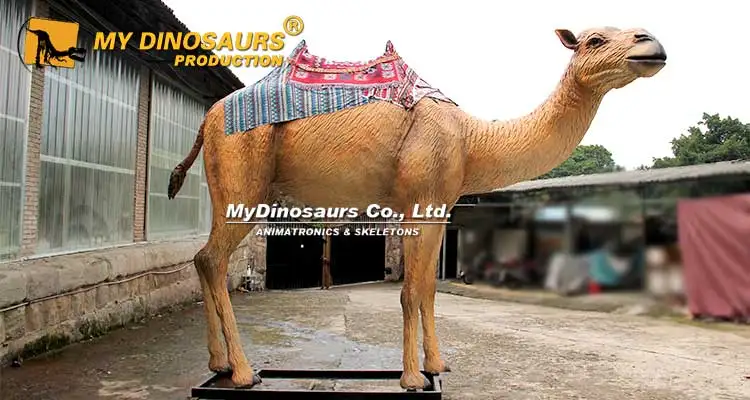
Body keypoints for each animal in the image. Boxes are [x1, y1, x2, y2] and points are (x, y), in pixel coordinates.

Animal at [167, 26, 666, 390]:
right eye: (594, 39)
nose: (652, 44)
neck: (471, 138)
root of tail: (208, 117)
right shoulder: (417, 200)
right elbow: (409, 290)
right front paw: (410, 378)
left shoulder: (440, 206)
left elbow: (427, 288)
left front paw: (438, 366)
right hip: (242, 170)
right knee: (213, 258)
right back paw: (243, 372)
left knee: (202, 257)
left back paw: (219, 364)